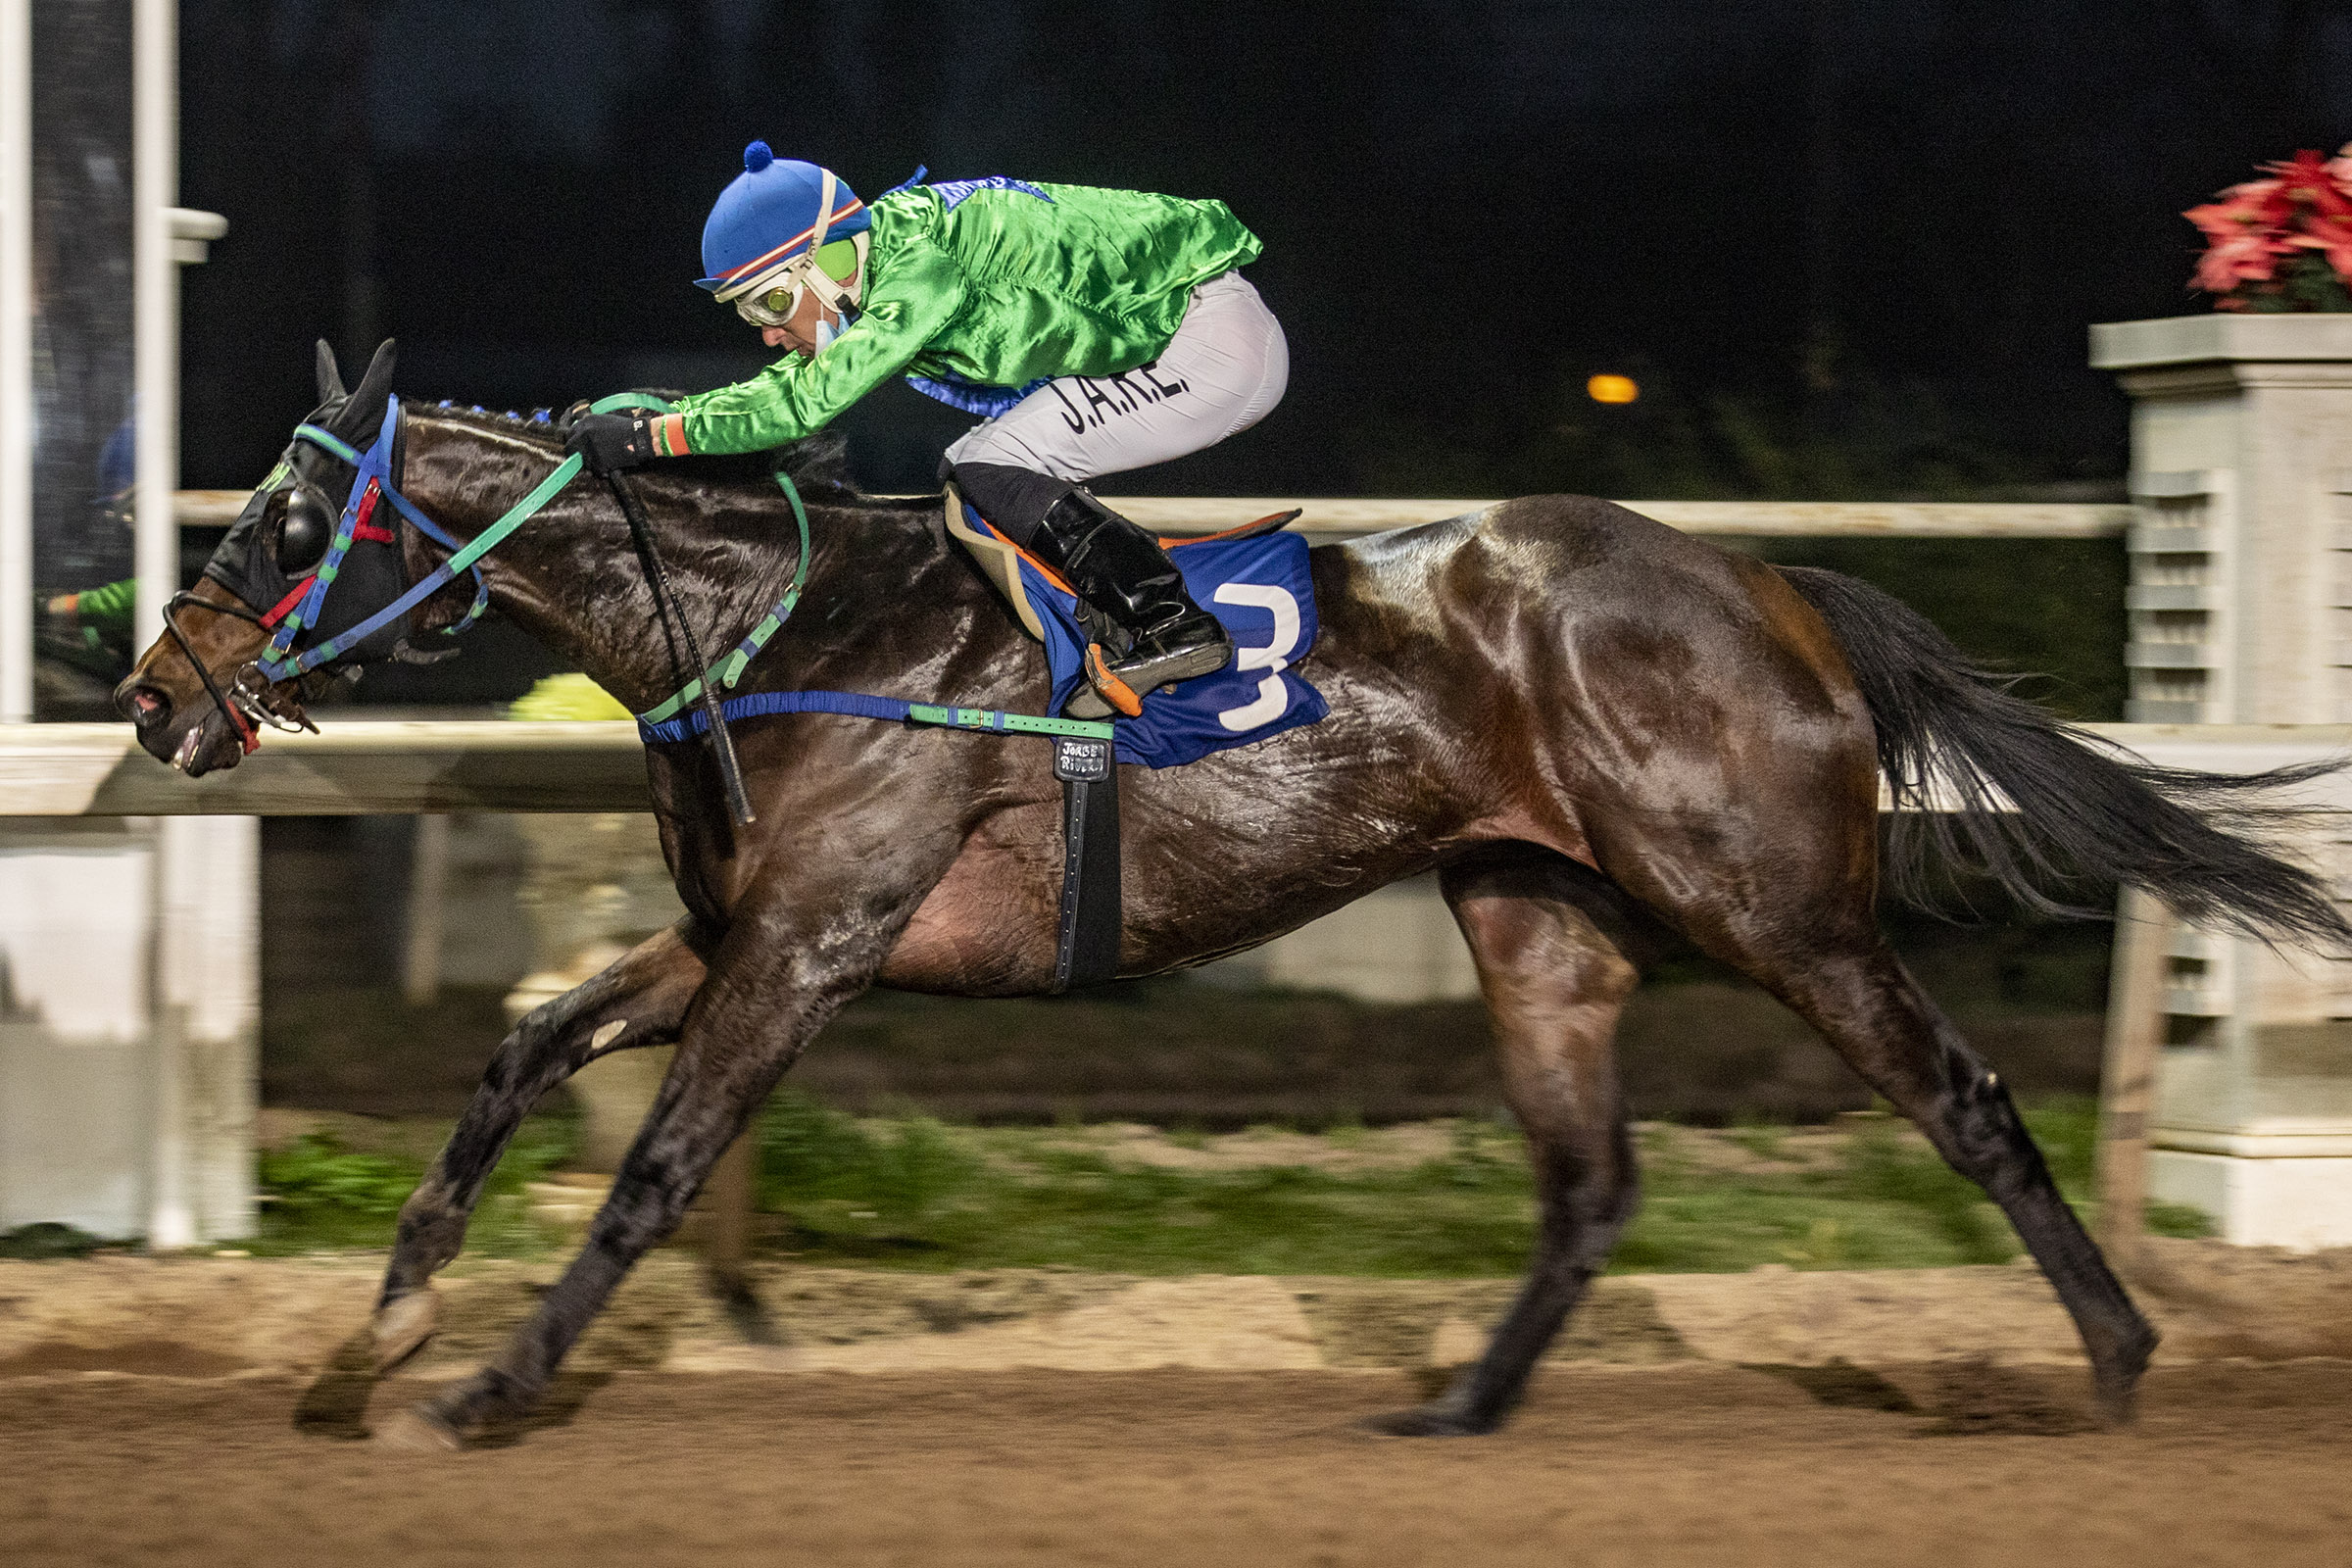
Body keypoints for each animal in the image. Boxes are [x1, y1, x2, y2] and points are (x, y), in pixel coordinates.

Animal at [120, 341, 2349, 1448]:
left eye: (292, 515)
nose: (153, 695)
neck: (779, 617)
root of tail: (1776, 584)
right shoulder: (728, 932)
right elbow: (510, 1064)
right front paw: (367, 1345)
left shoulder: (816, 949)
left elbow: (657, 1168)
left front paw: (493, 1387)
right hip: (1533, 922)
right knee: (1591, 1185)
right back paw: (1458, 1405)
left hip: (1778, 912)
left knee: (1964, 1102)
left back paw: (2120, 1365)